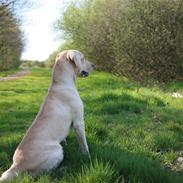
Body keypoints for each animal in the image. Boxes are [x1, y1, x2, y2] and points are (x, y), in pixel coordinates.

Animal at [0, 49, 93, 182]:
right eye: (83, 58)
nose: (93, 65)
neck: (62, 82)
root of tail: (16, 166)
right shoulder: (79, 122)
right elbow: (84, 145)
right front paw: (87, 157)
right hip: (57, 151)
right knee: (39, 174)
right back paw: (62, 169)